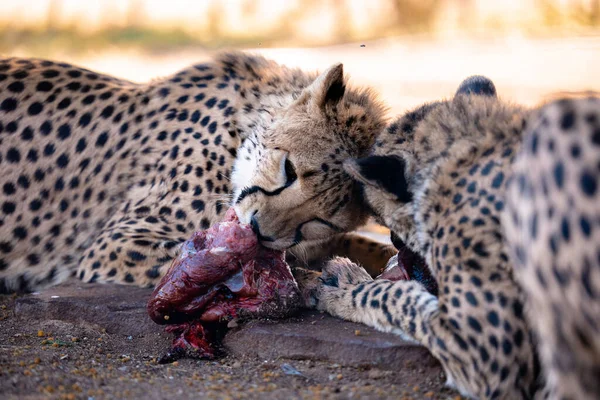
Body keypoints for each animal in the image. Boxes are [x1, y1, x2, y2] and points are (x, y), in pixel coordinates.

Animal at [0, 51, 396, 292]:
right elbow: (221, 260)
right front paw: (318, 281)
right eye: (290, 169)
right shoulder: (114, 244)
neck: (242, 124)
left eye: (322, 219)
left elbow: (357, 243)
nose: (259, 229)